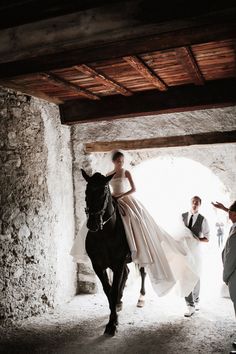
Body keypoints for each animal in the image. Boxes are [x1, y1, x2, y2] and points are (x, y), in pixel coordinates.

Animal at [81, 170, 132, 336]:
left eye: (104, 192)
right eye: (86, 191)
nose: (93, 224)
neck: (104, 234)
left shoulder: (118, 263)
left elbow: (114, 290)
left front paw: (112, 324)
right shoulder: (97, 265)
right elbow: (107, 290)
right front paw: (113, 314)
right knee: (127, 273)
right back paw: (118, 303)